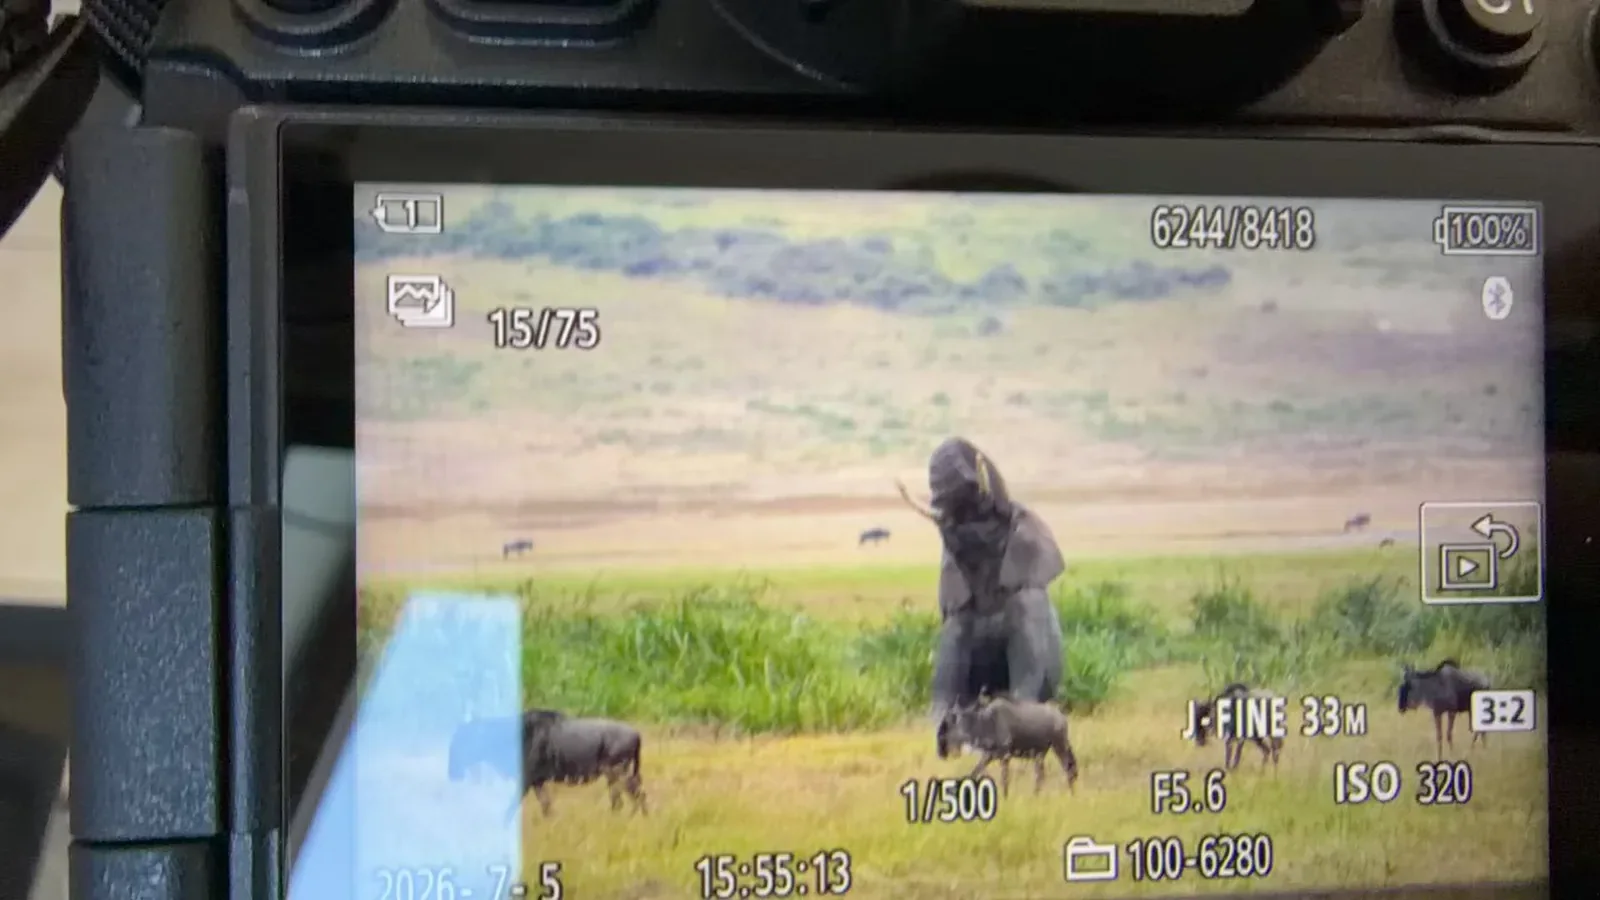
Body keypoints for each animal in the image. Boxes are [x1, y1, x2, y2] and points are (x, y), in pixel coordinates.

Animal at [898, 437, 1067, 758]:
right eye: (947, 536)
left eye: (998, 518)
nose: (952, 445)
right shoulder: (956, 611)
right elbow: (946, 676)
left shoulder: (1026, 597)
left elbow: (1028, 666)